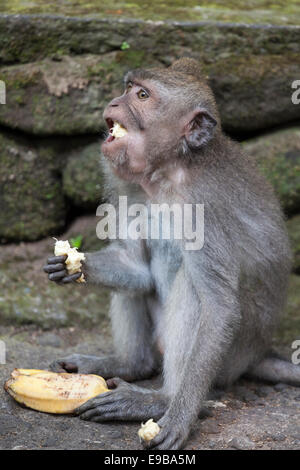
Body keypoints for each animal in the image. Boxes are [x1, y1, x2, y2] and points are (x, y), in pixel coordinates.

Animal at [43, 59, 298, 452]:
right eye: (128, 88)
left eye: (142, 95)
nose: (114, 102)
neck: (168, 173)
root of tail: (258, 354)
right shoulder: (128, 186)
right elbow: (137, 269)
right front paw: (73, 265)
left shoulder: (204, 210)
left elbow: (219, 307)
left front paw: (178, 416)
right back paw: (130, 364)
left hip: (232, 356)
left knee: (195, 288)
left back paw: (160, 399)